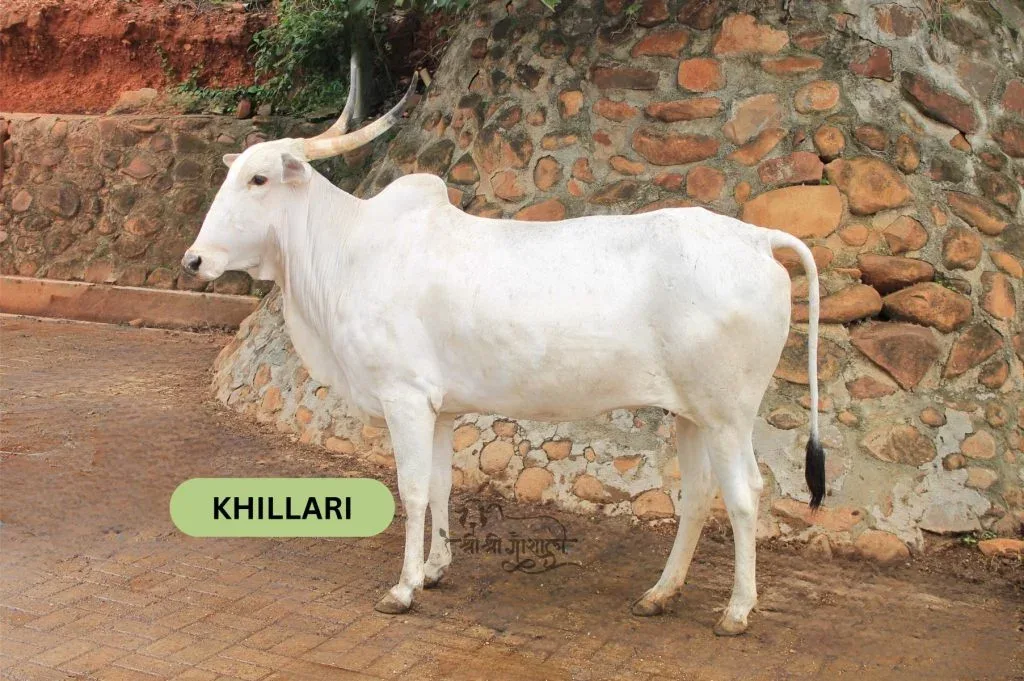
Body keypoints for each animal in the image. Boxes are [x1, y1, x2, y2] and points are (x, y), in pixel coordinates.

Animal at [182, 63, 826, 636]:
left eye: (259, 179)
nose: (194, 260)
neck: (350, 248)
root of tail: (756, 237)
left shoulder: (404, 399)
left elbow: (412, 490)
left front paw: (403, 588)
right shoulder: (440, 409)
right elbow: (440, 485)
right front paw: (435, 570)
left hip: (727, 413)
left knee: (744, 496)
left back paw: (737, 611)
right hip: (690, 414)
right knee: (696, 496)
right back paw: (660, 594)